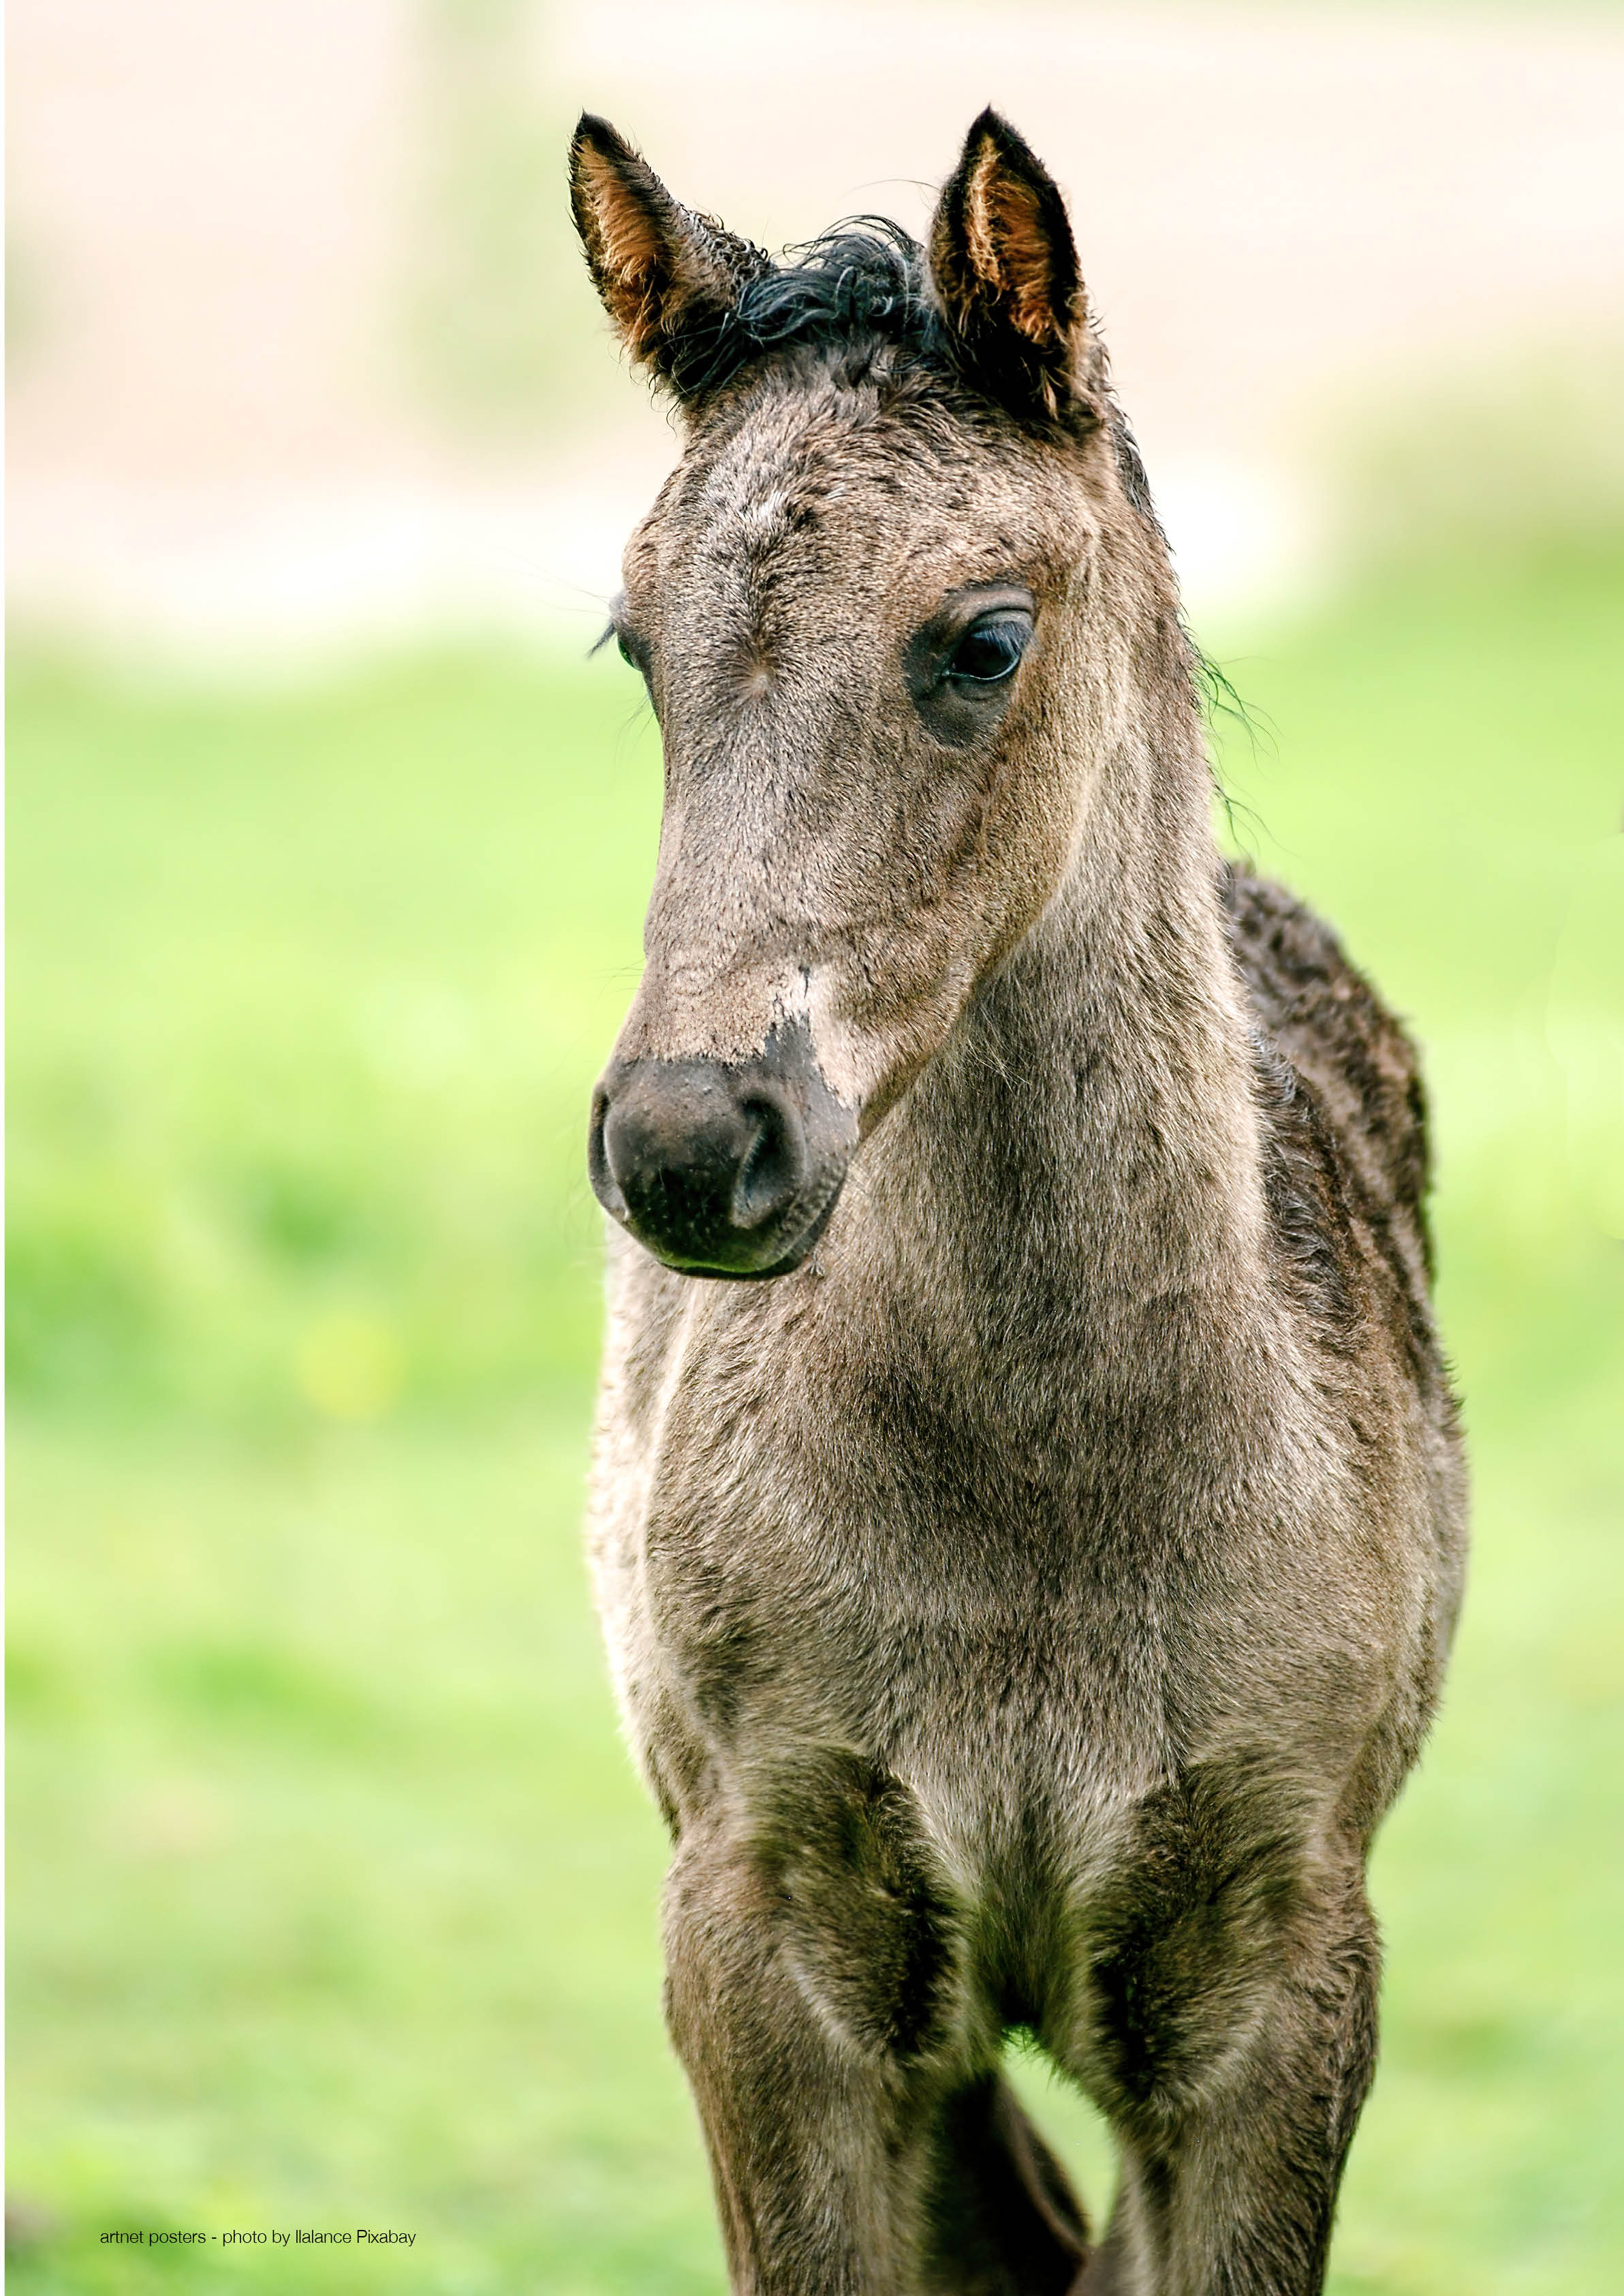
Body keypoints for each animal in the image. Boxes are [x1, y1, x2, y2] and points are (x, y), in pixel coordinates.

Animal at [574, 108, 1470, 2296]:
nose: (692, 1141)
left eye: (982, 637)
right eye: (638, 644)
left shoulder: (1278, 1982)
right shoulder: (765, 1952)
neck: (1046, 1496)